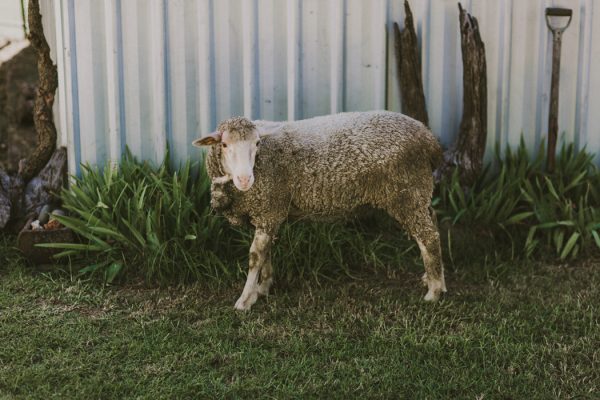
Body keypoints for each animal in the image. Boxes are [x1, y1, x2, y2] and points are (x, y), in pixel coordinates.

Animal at [192, 111, 446, 310]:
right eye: (225, 145)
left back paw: (433, 292)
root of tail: (428, 139)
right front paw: (263, 287)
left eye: (256, 144)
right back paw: (434, 279)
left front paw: (245, 300)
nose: (246, 180)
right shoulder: (269, 211)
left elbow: (255, 256)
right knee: (432, 224)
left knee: (428, 238)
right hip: (417, 192)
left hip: (407, 191)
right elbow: (266, 253)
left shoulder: (269, 207)